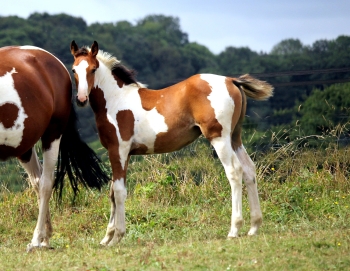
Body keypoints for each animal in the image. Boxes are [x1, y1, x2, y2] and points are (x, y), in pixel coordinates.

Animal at [0, 45, 109, 252]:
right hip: (25, 145)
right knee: (37, 181)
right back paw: (45, 236)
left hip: (53, 133)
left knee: (46, 183)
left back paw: (37, 239)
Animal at [70, 40, 274, 246]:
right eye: (73, 70)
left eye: (93, 69)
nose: (81, 99)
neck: (116, 100)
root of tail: (231, 80)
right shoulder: (122, 154)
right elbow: (112, 192)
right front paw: (107, 237)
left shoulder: (118, 150)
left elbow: (119, 192)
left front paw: (116, 237)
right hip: (235, 138)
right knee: (249, 170)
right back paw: (254, 227)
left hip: (219, 138)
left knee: (234, 172)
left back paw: (234, 229)